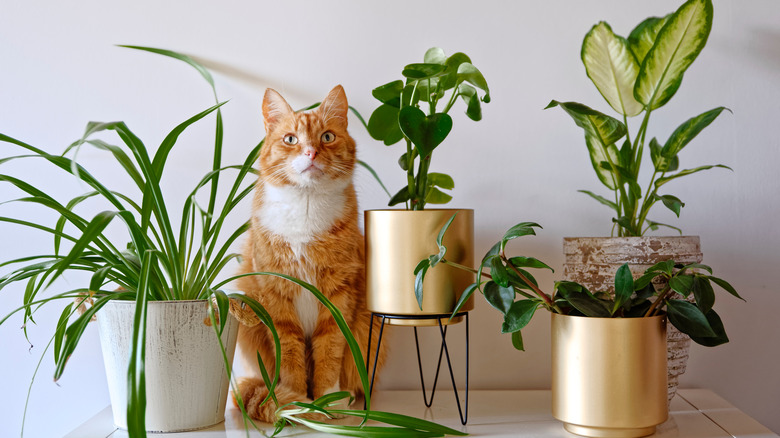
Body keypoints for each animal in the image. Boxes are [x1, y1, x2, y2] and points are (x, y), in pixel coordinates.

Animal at [235, 84, 386, 422]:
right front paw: (295, 402)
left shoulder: (338, 294)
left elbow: (329, 349)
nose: (311, 153)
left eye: (327, 137)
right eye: (291, 139)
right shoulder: (275, 293)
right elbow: (289, 353)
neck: (304, 207)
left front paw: (328, 401)